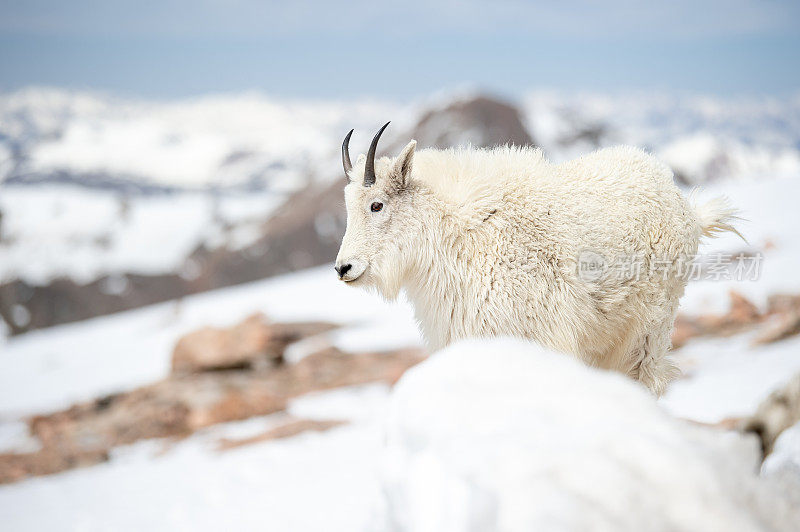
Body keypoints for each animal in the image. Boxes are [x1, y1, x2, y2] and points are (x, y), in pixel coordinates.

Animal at [332, 122, 736, 392]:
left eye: (377, 205)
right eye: (347, 207)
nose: (343, 268)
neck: (457, 234)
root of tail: (686, 206)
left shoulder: (539, 334)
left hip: (651, 326)